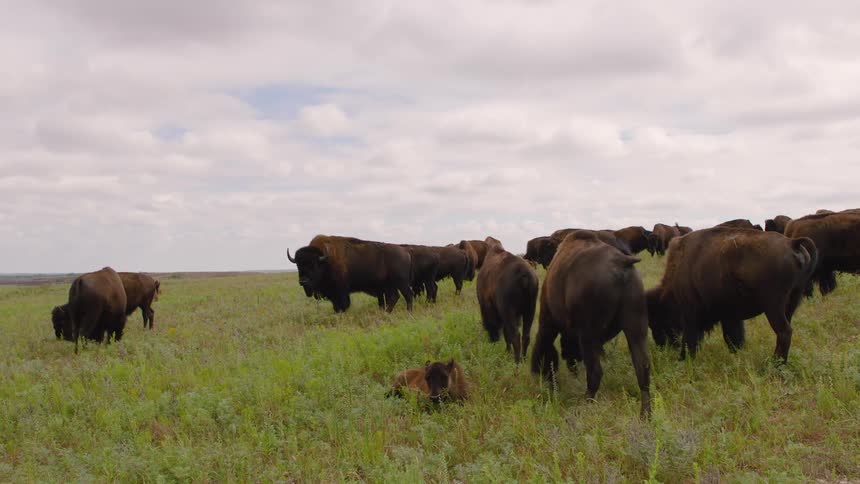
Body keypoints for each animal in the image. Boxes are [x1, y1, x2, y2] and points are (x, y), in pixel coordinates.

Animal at [531, 230, 651, 417]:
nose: (543, 378)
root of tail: (621, 262)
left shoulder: (548, 320)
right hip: (636, 329)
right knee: (642, 369)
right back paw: (646, 415)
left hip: (588, 335)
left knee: (595, 372)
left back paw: (584, 404)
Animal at [646, 227, 817, 363]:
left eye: (656, 320)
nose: (661, 345)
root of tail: (792, 243)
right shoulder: (730, 316)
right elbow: (733, 338)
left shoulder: (690, 313)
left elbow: (690, 339)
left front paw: (683, 359)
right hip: (792, 302)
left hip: (774, 306)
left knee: (784, 331)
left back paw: (774, 364)